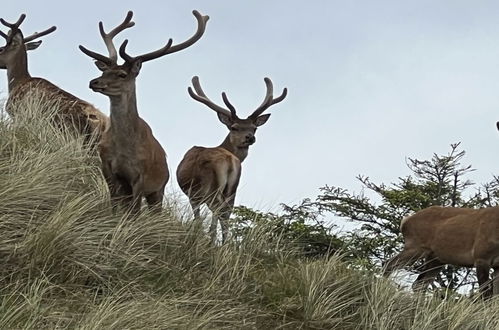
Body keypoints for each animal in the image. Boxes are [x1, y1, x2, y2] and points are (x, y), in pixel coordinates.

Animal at [80, 10, 209, 213]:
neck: (124, 147)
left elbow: (135, 212)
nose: (94, 82)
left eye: (122, 74)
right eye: (104, 71)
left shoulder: (141, 176)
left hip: (158, 189)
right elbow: (113, 206)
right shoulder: (108, 168)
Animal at [177, 76, 288, 242]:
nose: (250, 137)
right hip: (232, 190)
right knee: (226, 214)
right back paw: (224, 243)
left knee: (218, 211)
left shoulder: (194, 195)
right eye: (234, 127)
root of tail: (230, 160)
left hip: (211, 188)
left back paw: (212, 239)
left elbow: (197, 219)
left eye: (254, 128)